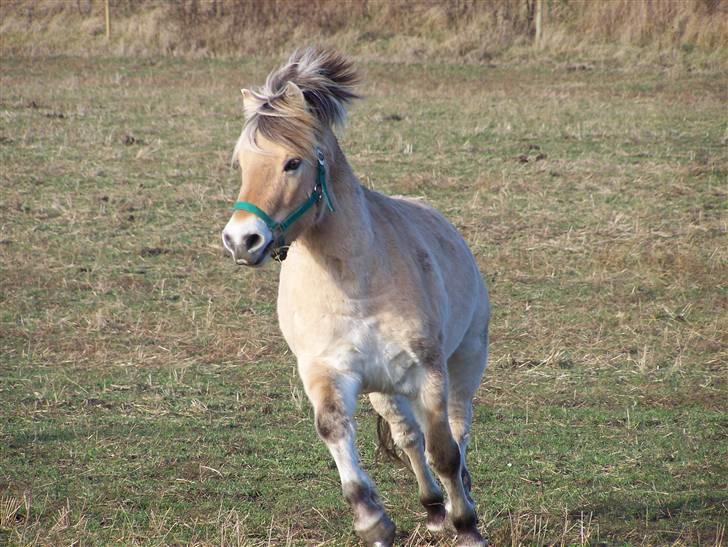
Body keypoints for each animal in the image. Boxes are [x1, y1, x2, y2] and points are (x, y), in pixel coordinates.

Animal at [222, 48, 492, 547]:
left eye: (292, 163)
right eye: (243, 164)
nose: (241, 240)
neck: (354, 285)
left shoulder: (430, 373)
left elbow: (445, 451)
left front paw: (467, 526)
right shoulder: (325, 371)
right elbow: (336, 429)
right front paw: (373, 522)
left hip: (466, 360)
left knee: (457, 429)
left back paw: (457, 499)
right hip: (384, 389)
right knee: (409, 437)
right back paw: (433, 508)